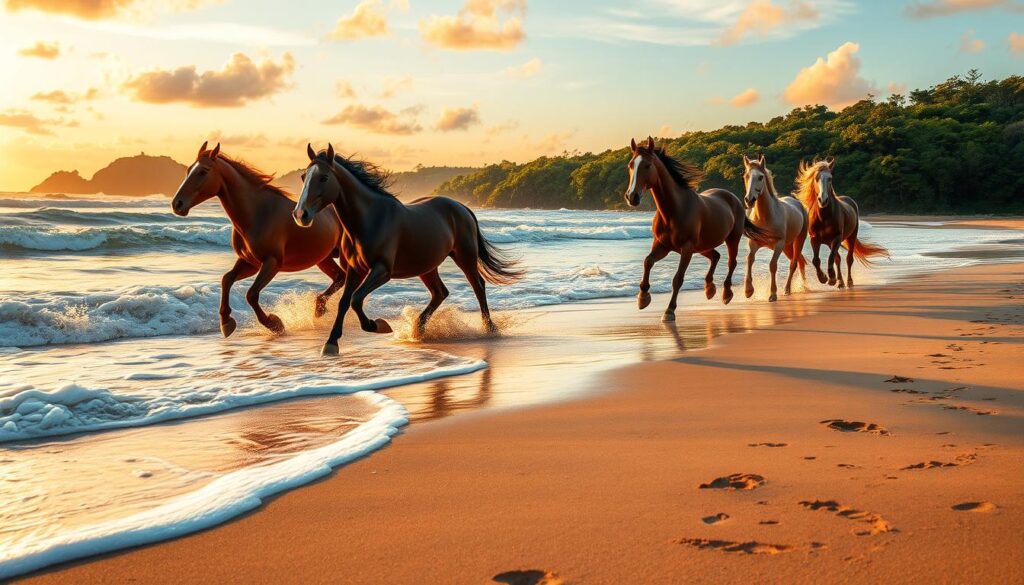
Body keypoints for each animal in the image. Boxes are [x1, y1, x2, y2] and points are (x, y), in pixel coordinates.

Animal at [167, 140, 344, 338]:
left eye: (203, 171)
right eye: (189, 170)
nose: (177, 204)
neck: (257, 213)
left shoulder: (271, 263)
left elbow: (251, 294)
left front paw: (274, 323)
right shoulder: (249, 262)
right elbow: (226, 280)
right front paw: (226, 322)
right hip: (324, 259)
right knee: (340, 277)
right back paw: (319, 308)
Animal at [292, 145, 524, 356]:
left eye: (323, 177)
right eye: (304, 177)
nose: (300, 214)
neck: (370, 220)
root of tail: (462, 207)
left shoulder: (382, 270)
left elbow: (356, 299)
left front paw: (378, 325)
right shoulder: (355, 270)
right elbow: (344, 302)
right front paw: (331, 343)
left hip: (464, 257)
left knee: (478, 286)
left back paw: (489, 329)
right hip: (427, 266)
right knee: (440, 292)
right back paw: (418, 330)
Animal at [622, 137, 774, 323]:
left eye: (647, 165)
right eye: (631, 165)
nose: (632, 197)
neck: (674, 210)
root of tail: (734, 198)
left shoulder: (686, 249)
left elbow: (678, 279)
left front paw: (669, 311)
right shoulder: (662, 245)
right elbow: (647, 261)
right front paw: (643, 298)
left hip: (731, 239)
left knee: (731, 262)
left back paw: (726, 294)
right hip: (702, 246)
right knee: (715, 256)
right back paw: (709, 289)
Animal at [745, 154, 806, 301]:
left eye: (760, 177)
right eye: (746, 176)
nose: (749, 200)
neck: (766, 217)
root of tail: (797, 203)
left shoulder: (778, 244)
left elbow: (772, 265)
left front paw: (772, 294)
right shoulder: (753, 243)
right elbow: (750, 260)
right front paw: (748, 291)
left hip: (797, 242)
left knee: (794, 264)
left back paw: (787, 290)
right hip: (788, 247)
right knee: (800, 261)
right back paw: (803, 286)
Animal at [790, 158, 888, 288]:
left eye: (830, 178)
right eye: (816, 178)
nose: (823, 200)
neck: (824, 217)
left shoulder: (836, 238)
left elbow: (831, 258)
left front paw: (831, 278)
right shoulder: (814, 239)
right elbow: (816, 260)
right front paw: (823, 278)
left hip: (850, 237)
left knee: (848, 259)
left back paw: (848, 281)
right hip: (829, 242)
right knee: (838, 259)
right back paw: (840, 282)